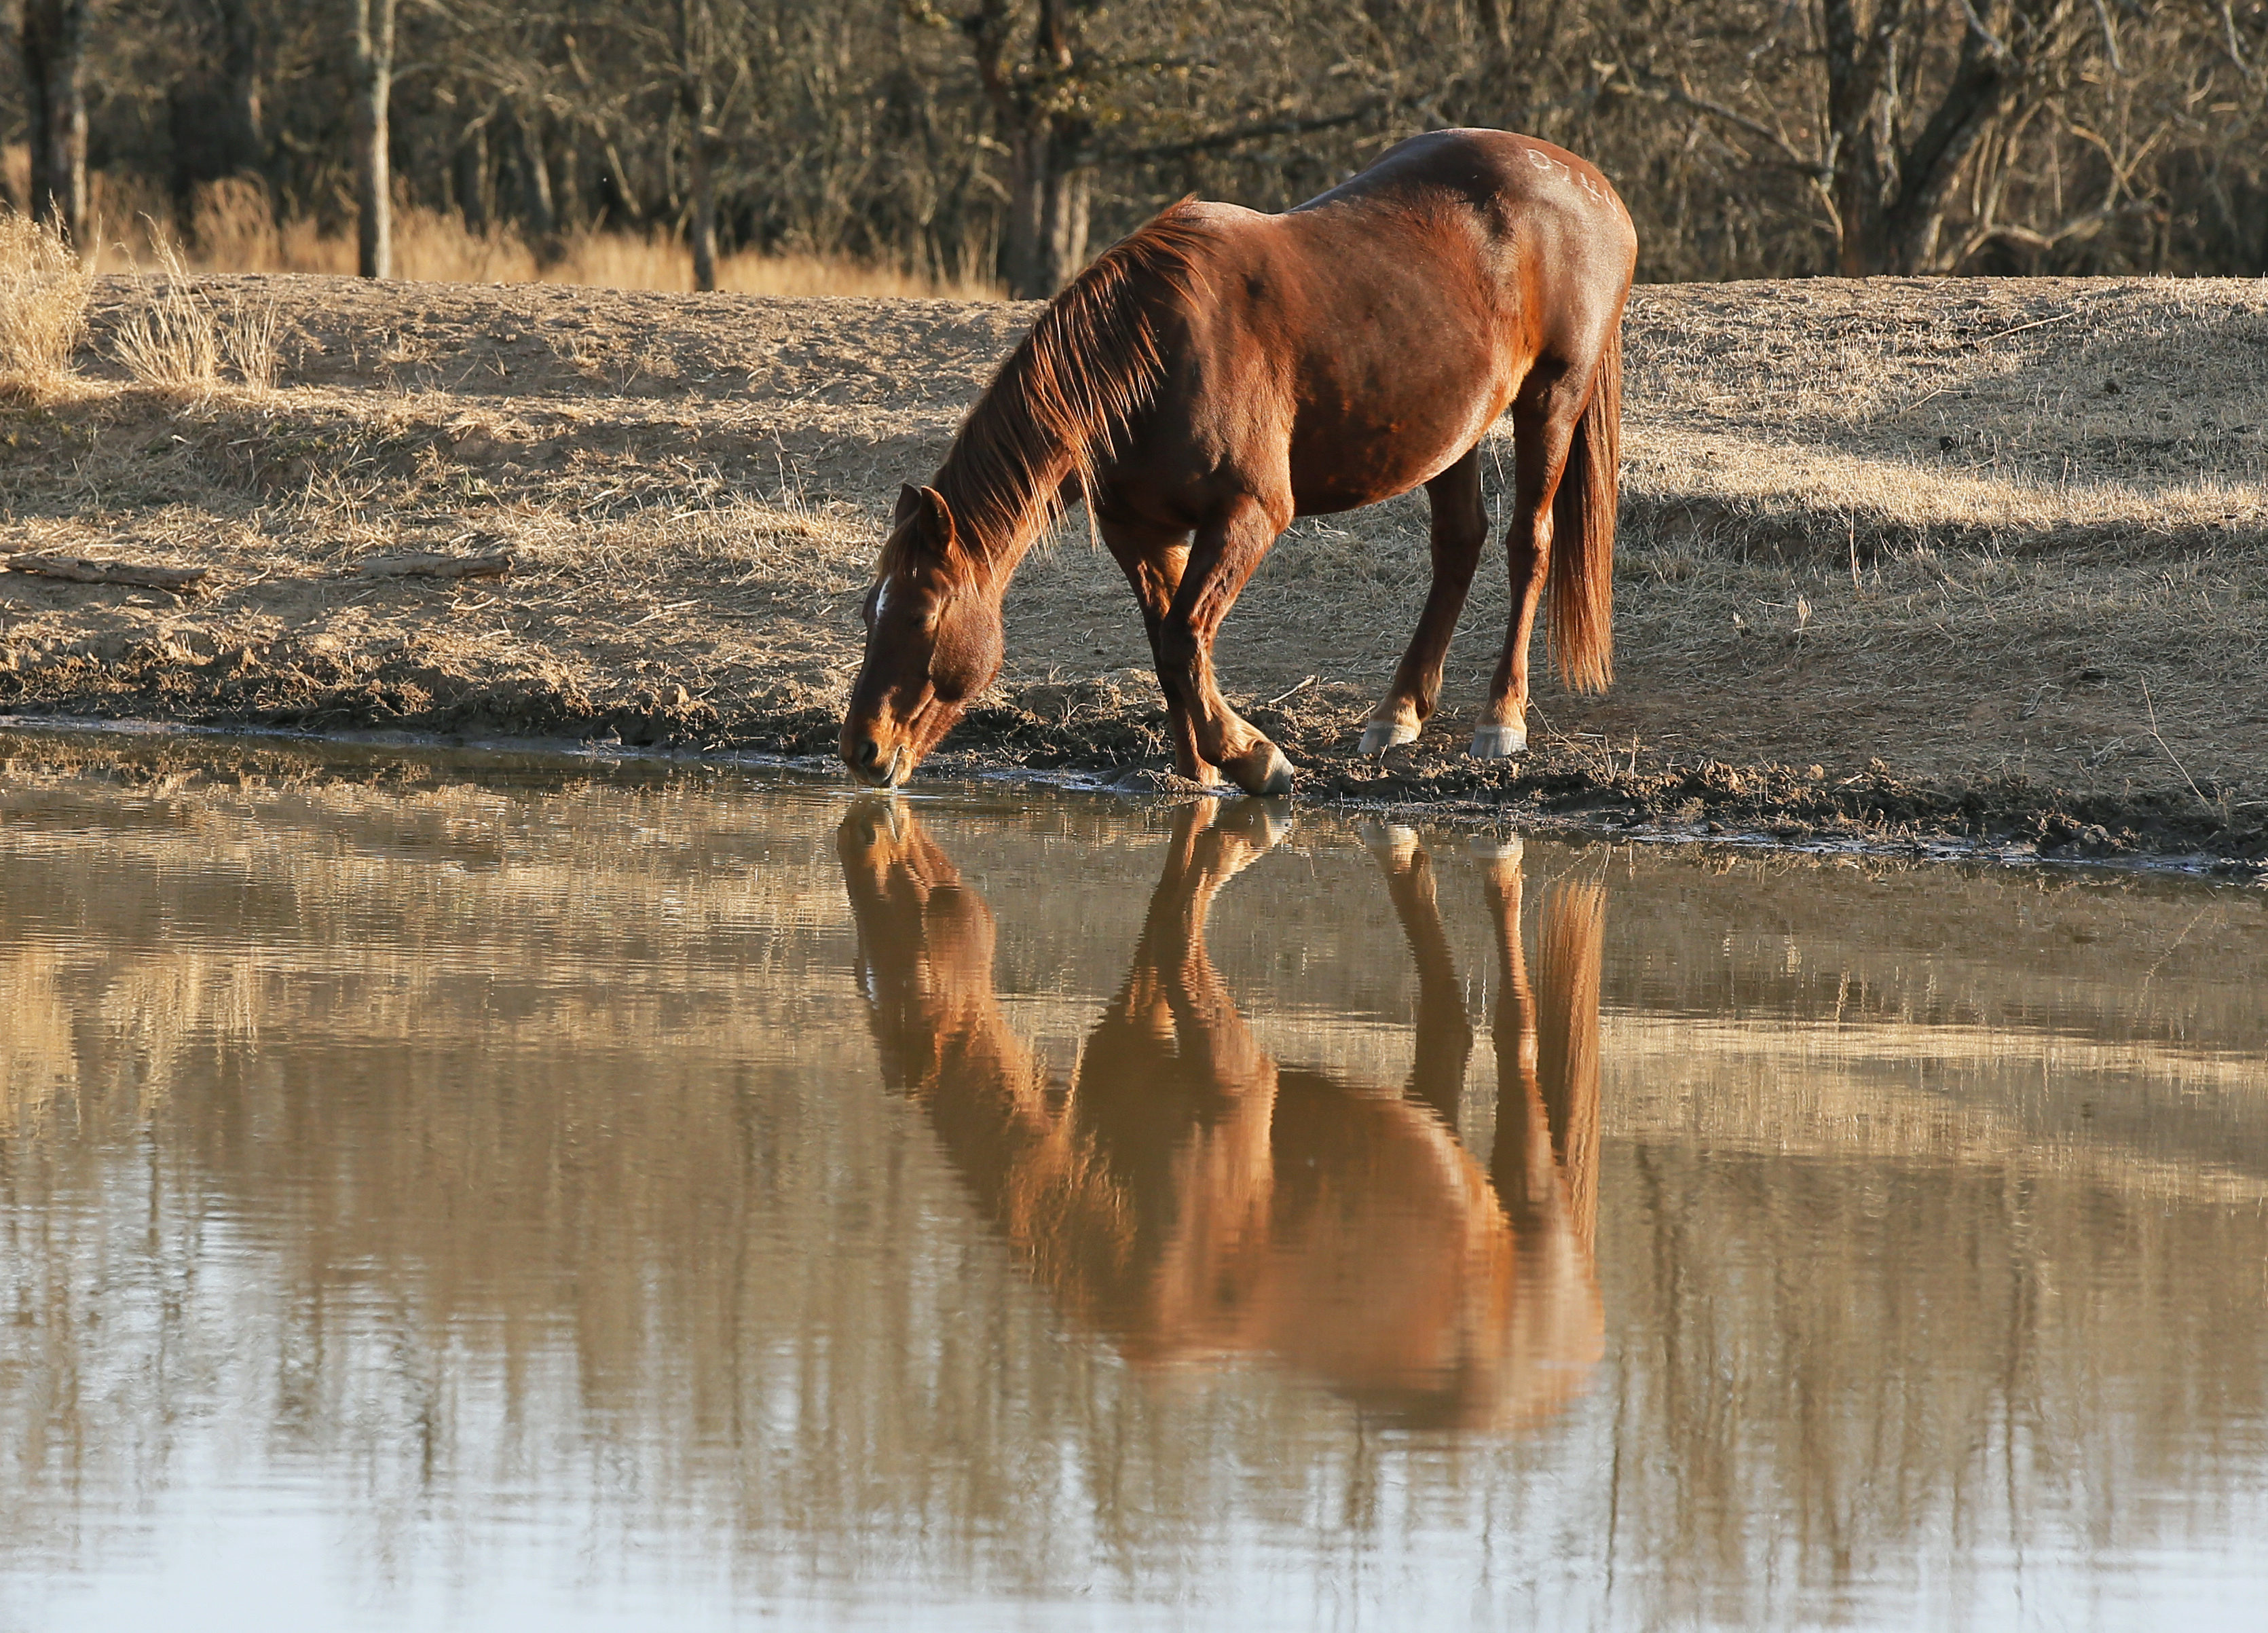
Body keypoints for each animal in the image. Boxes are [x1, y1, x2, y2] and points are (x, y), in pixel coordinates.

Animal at [837, 798, 1606, 1430]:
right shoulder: (1130, 1038)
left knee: (1515, 1030)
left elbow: (1178, 930)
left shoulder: (1236, 1085)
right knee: (1448, 1023)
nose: (862, 834)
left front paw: (1239, 830)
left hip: (1532, 1191)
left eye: (910, 973)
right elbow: (1162, 925)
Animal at [840, 127, 1637, 796]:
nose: (860, 751)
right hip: (1456, 431)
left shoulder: (1247, 516)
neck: (1154, 359)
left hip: (1551, 399)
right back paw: (1397, 712)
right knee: (1457, 545)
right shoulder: (1143, 531)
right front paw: (1199, 767)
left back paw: (1501, 719)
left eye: (922, 614)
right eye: (868, 608)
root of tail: (1595, 186)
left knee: (1527, 544)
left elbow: (1184, 636)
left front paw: (1253, 757)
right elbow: (1167, 643)